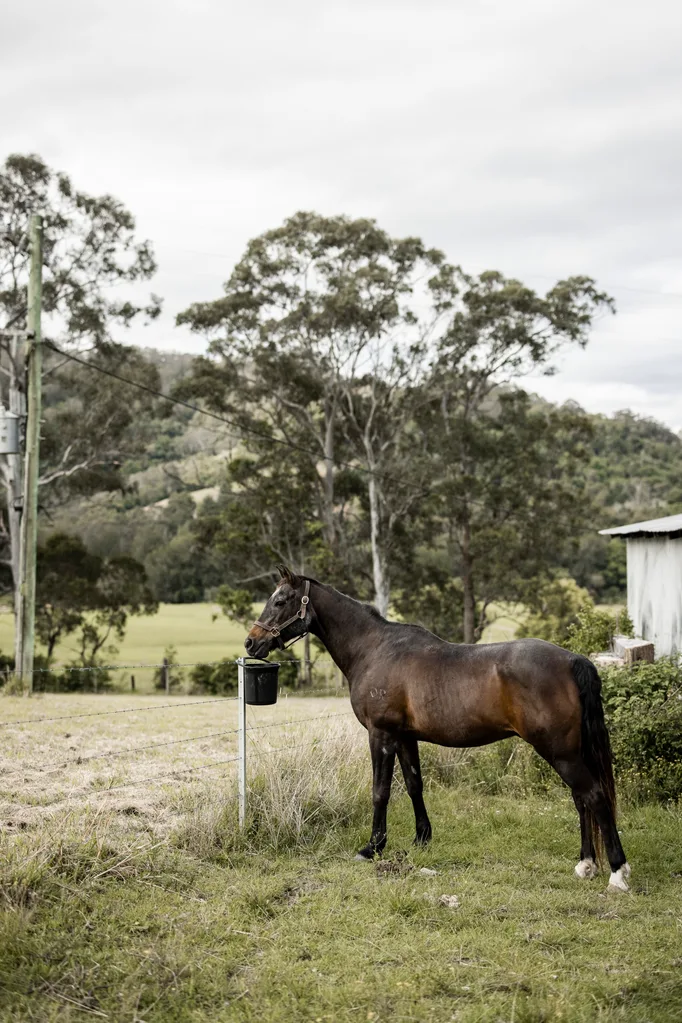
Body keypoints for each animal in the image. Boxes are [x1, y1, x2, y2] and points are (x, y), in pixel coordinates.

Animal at [245, 566, 631, 891]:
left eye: (280, 600)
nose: (251, 642)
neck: (375, 649)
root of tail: (572, 659)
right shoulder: (405, 738)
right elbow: (414, 785)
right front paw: (421, 839)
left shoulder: (381, 735)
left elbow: (380, 791)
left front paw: (372, 847)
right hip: (568, 751)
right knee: (582, 800)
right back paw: (586, 864)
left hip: (560, 752)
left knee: (594, 796)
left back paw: (617, 872)